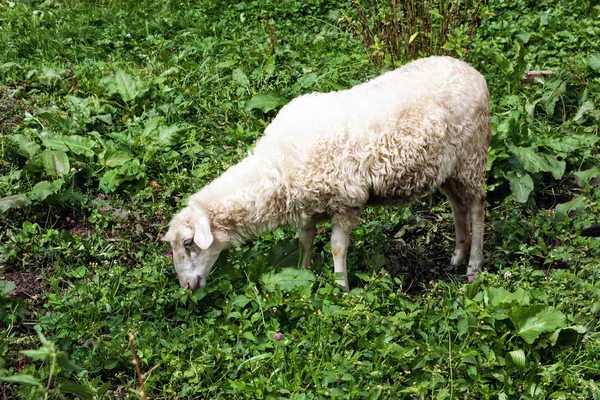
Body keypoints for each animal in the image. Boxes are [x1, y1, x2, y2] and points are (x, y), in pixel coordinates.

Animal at [162, 54, 490, 290]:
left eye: (188, 243)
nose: (187, 287)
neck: (277, 166)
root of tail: (471, 70)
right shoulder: (307, 206)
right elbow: (304, 243)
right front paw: (303, 276)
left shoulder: (347, 201)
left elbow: (336, 248)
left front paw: (340, 288)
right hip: (447, 168)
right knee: (457, 205)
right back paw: (458, 255)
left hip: (472, 156)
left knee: (476, 207)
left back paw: (473, 265)